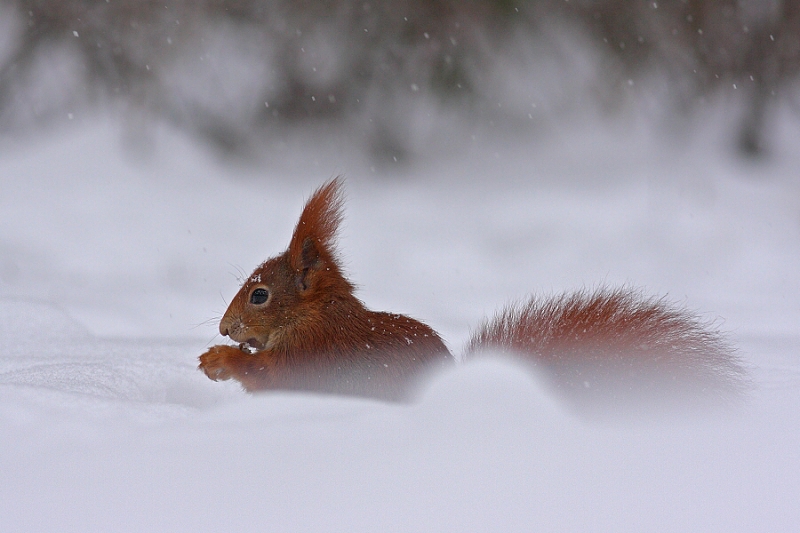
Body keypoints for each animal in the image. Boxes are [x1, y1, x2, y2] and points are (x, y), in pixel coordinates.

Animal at [199, 177, 745, 404]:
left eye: (260, 295)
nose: (226, 327)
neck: (316, 314)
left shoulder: (317, 351)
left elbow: (273, 374)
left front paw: (220, 360)